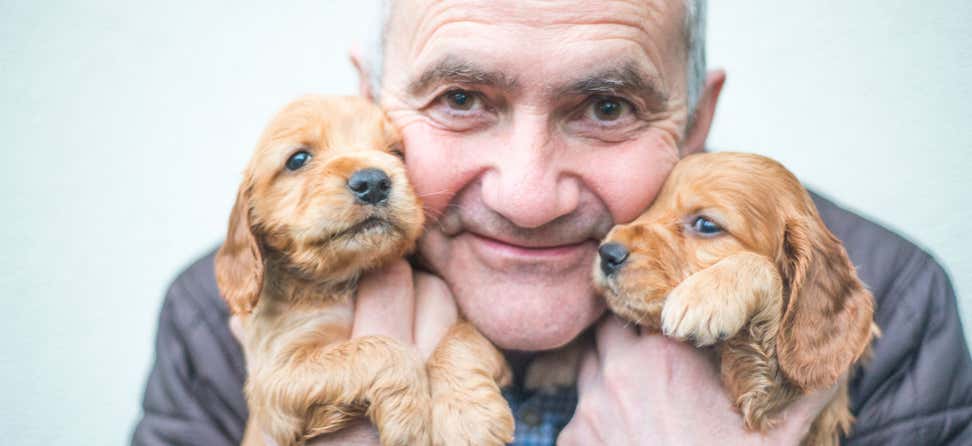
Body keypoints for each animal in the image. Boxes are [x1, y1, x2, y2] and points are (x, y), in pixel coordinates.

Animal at [215, 95, 512, 446]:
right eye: (297, 159)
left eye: (396, 152)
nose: (372, 182)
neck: (345, 280)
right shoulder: (273, 381)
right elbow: (382, 349)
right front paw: (409, 418)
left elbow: (460, 339)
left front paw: (469, 417)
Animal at [592, 152, 880, 444]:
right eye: (651, 205)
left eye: (707, 225)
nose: (607, 253)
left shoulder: (771, 393)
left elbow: (761, 267)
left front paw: (705, 296)